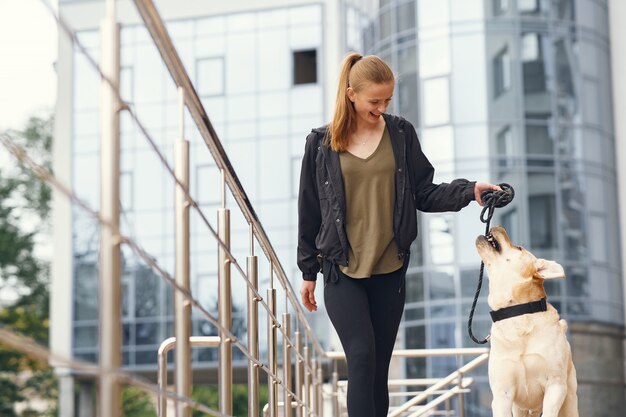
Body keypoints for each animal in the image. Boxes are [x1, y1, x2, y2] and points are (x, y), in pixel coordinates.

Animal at [476, 226, 576, 414]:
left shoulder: (555, 386)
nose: (496, 226)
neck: (518, 312)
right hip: (520, 408)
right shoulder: (502, 394)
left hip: (570, 399)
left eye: (519, 248)